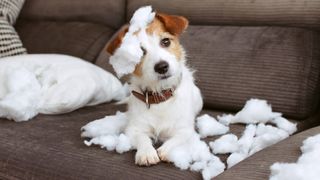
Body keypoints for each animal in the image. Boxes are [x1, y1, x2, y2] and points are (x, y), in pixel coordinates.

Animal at [107, 12, 202, 166]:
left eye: (166, 42)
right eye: (140, 51)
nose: (162, 67)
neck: (160, 96)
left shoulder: (185, 130)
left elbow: (176, 139)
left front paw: (165, 150)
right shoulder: (134, 130)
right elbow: (142, 138)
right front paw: (146, 153)